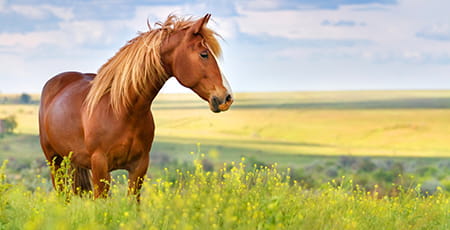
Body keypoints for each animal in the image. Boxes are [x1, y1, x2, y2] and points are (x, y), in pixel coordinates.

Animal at [39, 13, 234, 199]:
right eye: (204, 54)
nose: (227, 97)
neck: (122, 110)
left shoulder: (139, 167)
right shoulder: (99, 166)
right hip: (54, 162)